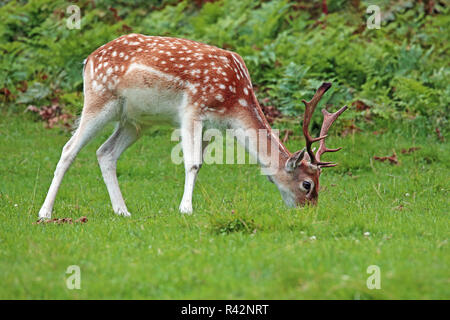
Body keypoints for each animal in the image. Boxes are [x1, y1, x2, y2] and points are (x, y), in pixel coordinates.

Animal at [38, 34, 348, 220]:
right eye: (307, 184)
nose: (309, 211)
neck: (234, 101)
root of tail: (87, 59)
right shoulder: (192, 109)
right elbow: (192, 163)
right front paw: (185, 209)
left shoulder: (212, 126)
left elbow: (200, 162)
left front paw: (185, 205)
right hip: (99, 98)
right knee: (69, 149)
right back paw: (45, 213)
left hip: (136, 121)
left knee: (105, 152)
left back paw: (122, 211)